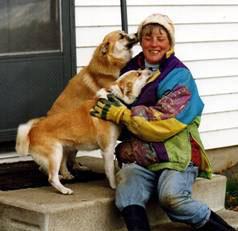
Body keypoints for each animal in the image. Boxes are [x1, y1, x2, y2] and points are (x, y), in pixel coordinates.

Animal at [15, 69, 152, 194]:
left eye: (139, 70)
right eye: (138, 74)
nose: (150, 69)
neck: (115, 97)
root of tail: (31, 131)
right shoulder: (107, 150)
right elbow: (110, 170)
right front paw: (114, 186)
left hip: (65, 148)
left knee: (55, 168)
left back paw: (65, 176)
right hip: (55, 153)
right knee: (51, 178)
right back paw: (64, 190)